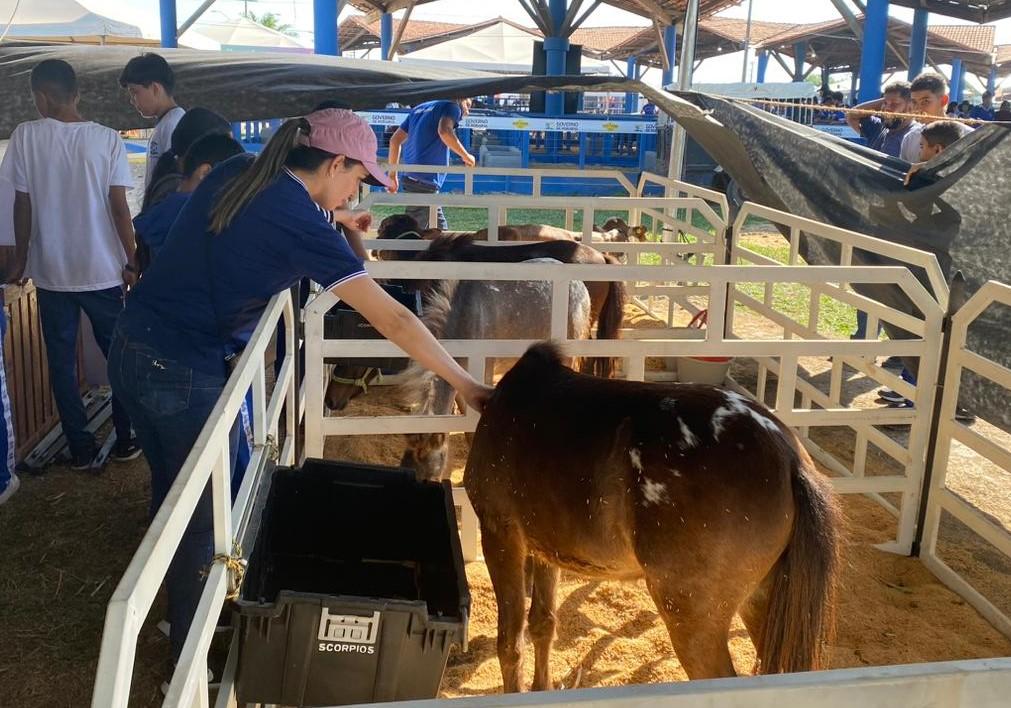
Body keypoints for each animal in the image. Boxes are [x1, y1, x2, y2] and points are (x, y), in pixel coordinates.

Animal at [463, 343, 841, 691]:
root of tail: (788, 457)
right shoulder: (544, 546)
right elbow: (543, 625)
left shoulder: (501, 534)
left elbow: (510, 644)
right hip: (764, 600)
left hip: (693, 617)